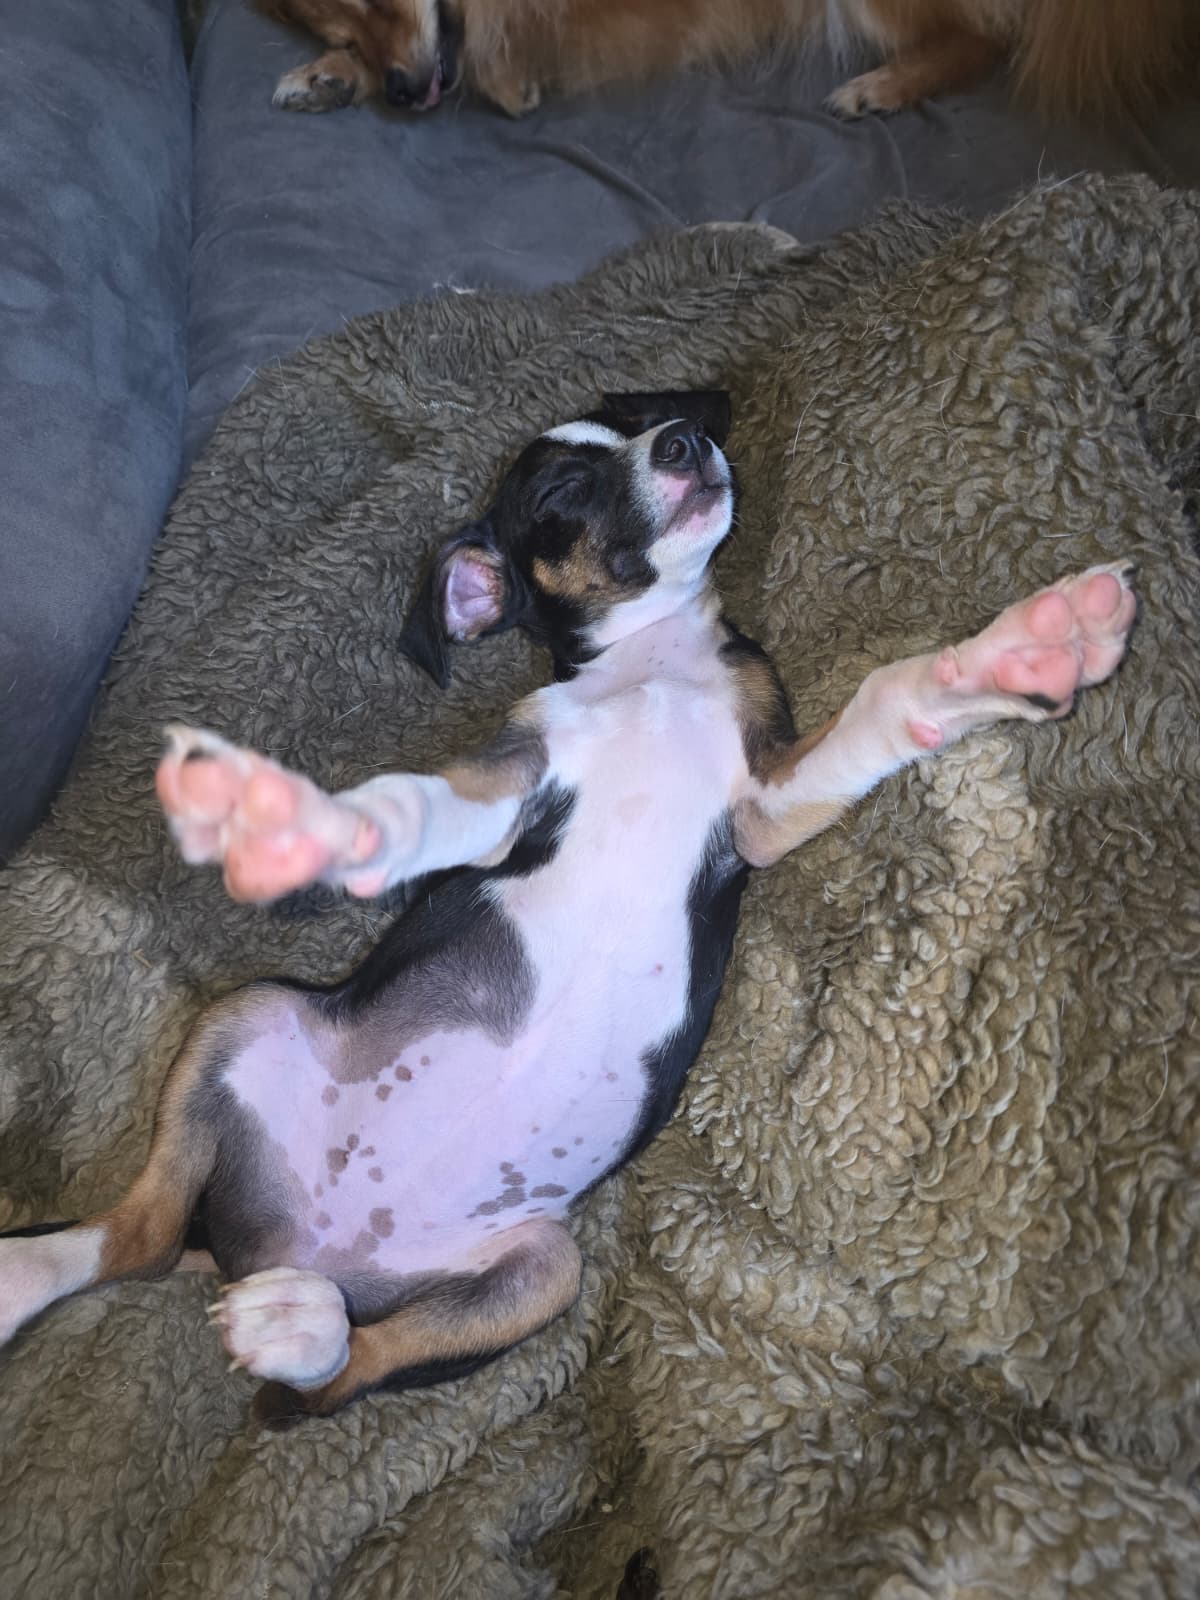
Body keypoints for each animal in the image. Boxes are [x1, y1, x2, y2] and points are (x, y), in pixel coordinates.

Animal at [0, 391, 1137, 1422]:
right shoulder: (509, 787)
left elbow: (888, 695)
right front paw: (300, 824)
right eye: (557, 494)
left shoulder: (763, 806)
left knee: (312, 1373)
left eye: (650, 417)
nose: (684, 441)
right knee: (143, 1244)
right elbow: (403, 805)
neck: (652, 665)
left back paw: (294, 1327)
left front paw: (1024, 650)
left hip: (539, 1272)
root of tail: (265, 1246)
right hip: (248, 1015)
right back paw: (46, 1279)